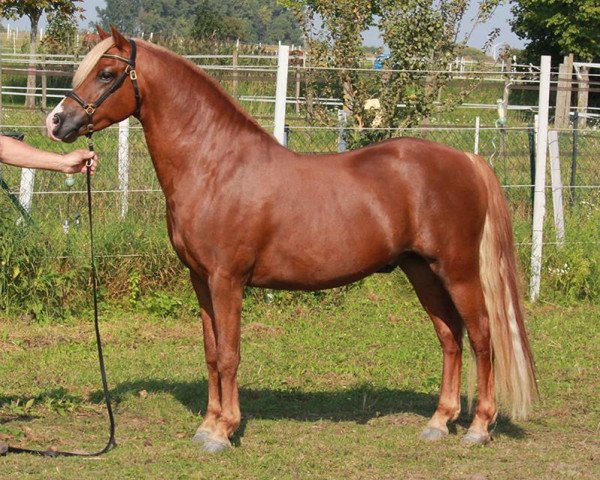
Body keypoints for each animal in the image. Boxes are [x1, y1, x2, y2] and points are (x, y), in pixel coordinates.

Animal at [45, 27, 536, 454]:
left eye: (107, 73)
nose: (57, 122)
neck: (214, 165)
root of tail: (468, 159)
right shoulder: (201, 281)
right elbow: (211, 352)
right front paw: (207, 424)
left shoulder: (227, 281)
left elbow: (230, 355)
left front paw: (223, 432)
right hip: (421, 271)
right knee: (450, 337)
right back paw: (439, 421)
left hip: (458, 271)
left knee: (482, 336)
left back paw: (478, 427)